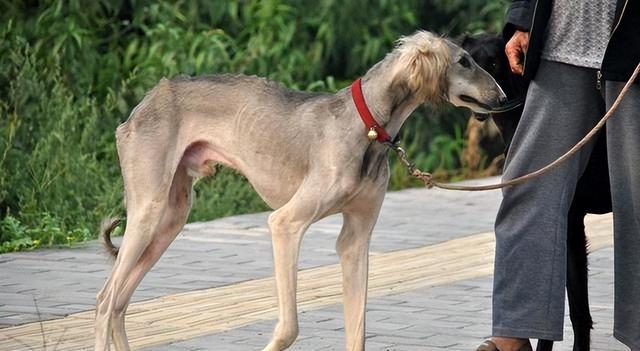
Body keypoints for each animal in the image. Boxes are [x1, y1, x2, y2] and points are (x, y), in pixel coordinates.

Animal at [95, 31, 504, 351]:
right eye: (465, 61)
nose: (502, 98)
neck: (367, 124)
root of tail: (147, 101)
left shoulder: (356, 239)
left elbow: (358, 330)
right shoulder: (285, 224)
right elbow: (289, 327)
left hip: (172, 217)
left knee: (119, 303)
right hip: (148, 209)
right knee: (104, 302)